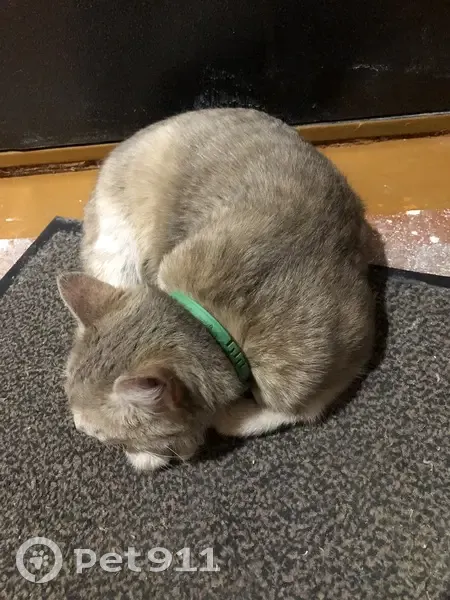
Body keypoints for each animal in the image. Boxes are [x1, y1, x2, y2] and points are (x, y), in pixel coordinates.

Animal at [58, 108, 374, 471]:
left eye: (101, 436)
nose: (77, 427)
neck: (214, 319)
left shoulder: (337, 368)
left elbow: (286, 411)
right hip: (117, 253)